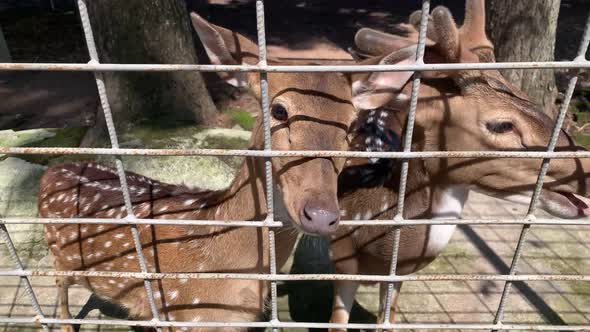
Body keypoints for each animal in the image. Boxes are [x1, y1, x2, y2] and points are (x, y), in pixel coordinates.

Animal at [38, 11, 384, 330]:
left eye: (351, 124)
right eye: (279, 110)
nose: (321, 215)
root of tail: (52, 171)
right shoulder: (183, 312)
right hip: (57, 256)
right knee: (61, 291)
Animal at [330, 0, 590, 330]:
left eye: (525, 95)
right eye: (502, 125)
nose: (586, 169)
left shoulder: (399, 273)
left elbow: (388, 319)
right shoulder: (341, 258)